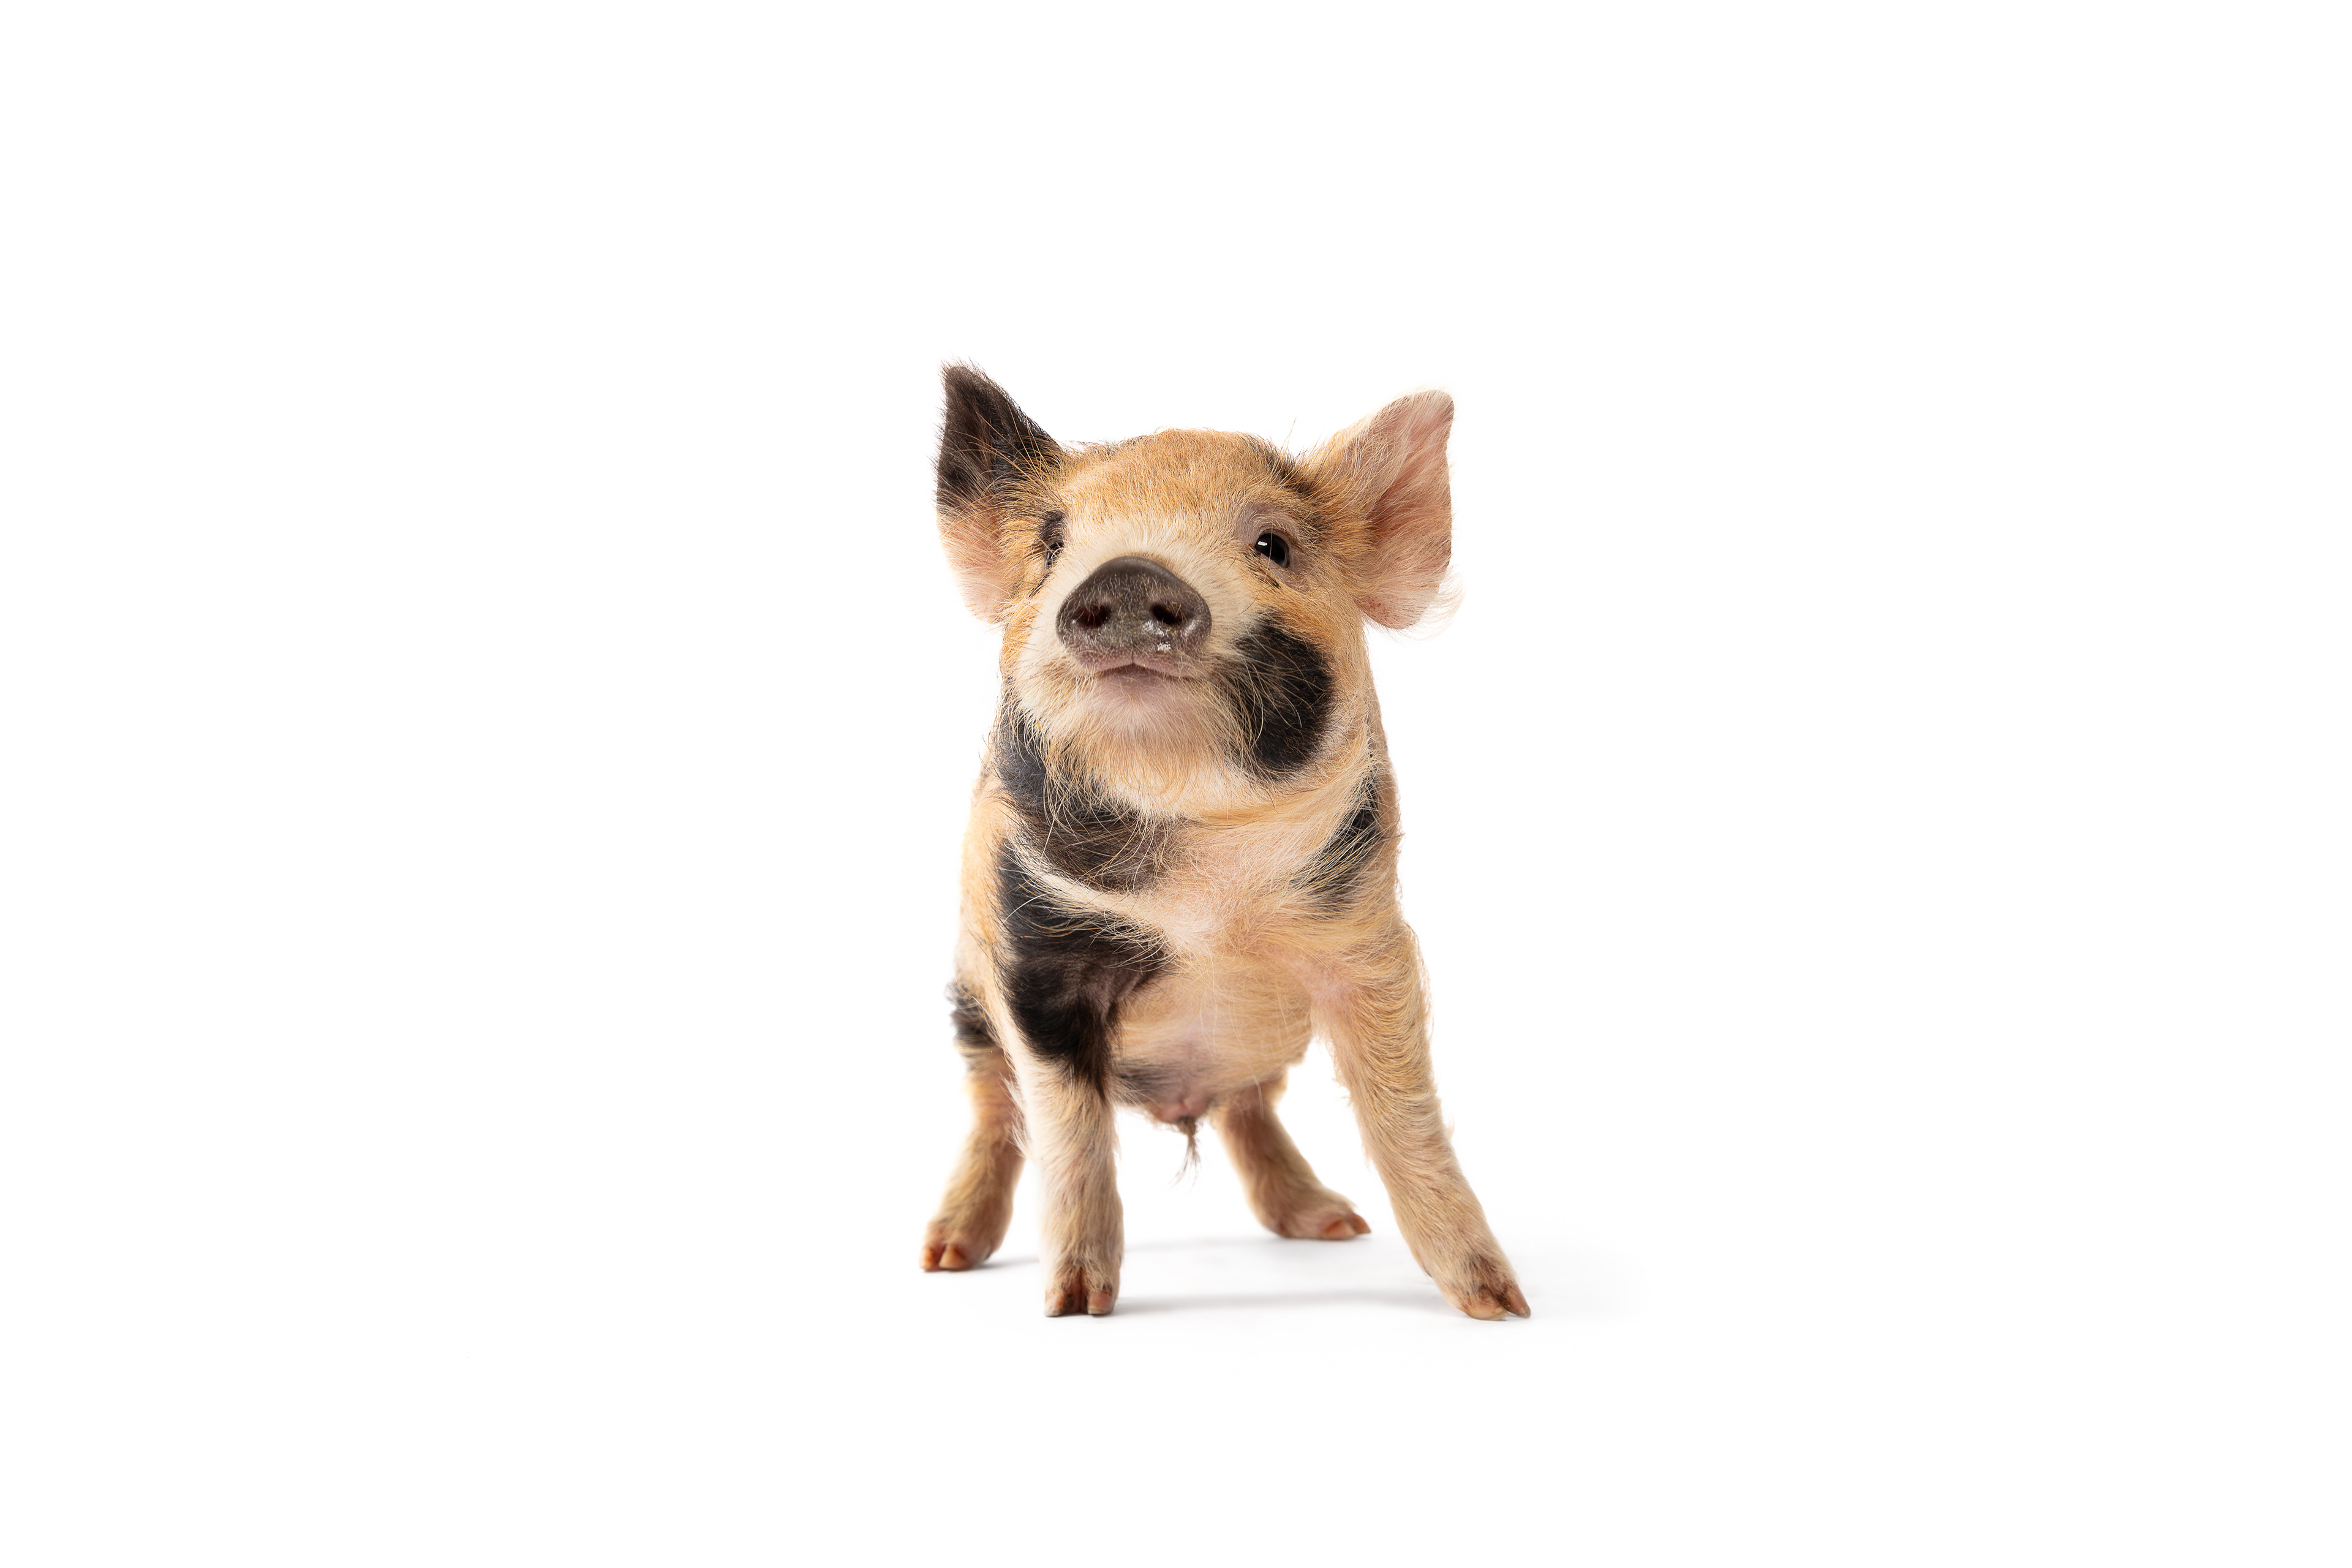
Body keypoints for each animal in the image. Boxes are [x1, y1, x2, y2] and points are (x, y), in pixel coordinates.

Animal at [918, 366, 1528, 1321]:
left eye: (1274, 545)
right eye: (1053, 544)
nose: (1131, 573)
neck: (1206, 896)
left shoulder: (1366, 943)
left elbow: (1404, 1116)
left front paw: (1500, 1304)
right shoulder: (1034, 958)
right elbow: (1068, 1131)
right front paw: (1074, 1306)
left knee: (1249, 1108)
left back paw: (1331, 1225)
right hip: (967, 997)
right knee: (993, 1107)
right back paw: (945, 1255)